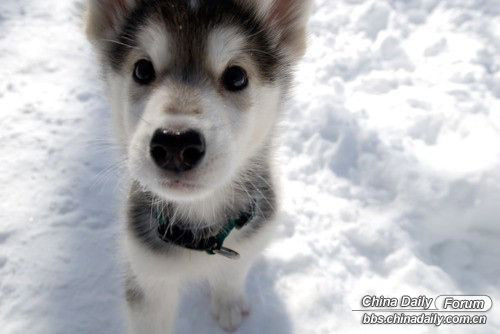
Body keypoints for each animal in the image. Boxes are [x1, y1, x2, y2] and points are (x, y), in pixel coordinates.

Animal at [87, 1, 312, 332]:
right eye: (142, 70)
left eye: (236, 76)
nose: (175, 144)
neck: (199, 226)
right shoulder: (147, 276)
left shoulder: (252, 235)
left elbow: (232, 272)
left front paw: (228, 303)